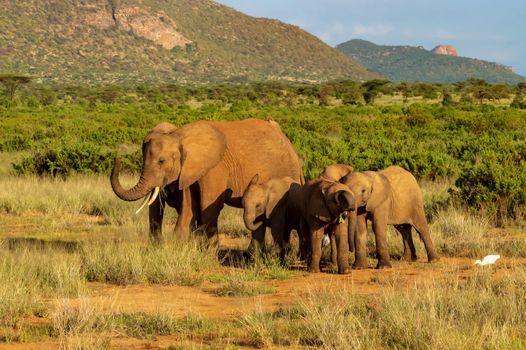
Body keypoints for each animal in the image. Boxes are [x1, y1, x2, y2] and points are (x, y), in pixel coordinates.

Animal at [111, 119, 306, 242]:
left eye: (161, 161)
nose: (117, 157)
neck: (179, 135)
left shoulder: (214, 168)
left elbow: (208, 206)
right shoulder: (190, 172)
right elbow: (190, 209)